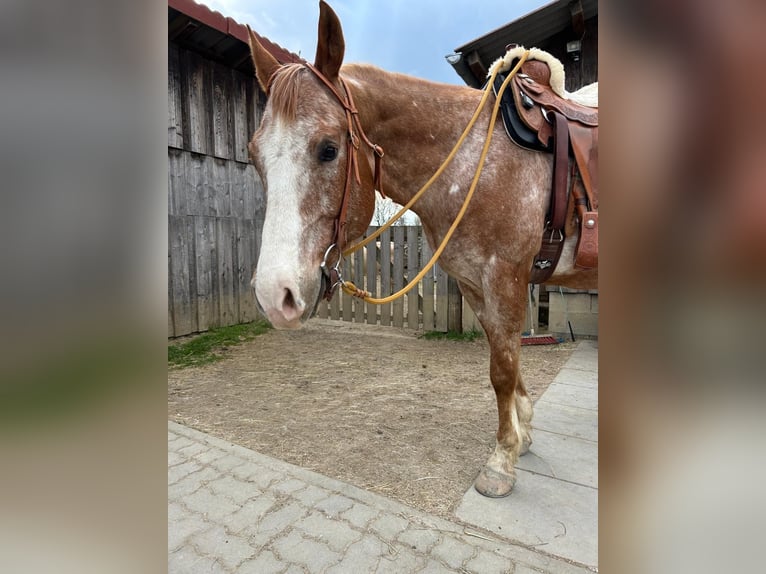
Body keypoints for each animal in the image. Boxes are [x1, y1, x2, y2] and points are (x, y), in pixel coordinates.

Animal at [247, 1, 597, 497]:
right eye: (254, 155)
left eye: (328, 149)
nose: (277, 296)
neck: (476, 159)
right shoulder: (475, 283)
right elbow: (505, 360)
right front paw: (523, 434)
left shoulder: (506, 276)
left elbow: (502, 368)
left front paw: (501, 461)